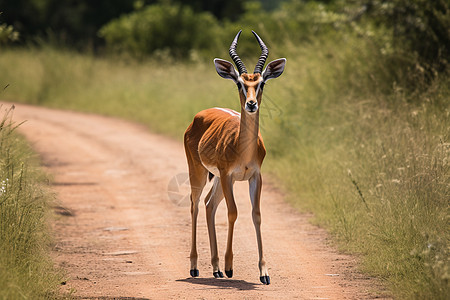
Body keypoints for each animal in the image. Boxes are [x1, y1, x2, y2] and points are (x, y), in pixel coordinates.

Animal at [183, 30, 284, 286]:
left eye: (261, 83)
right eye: (240, 83)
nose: (251, 104)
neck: (243, 149)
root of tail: (199, 116)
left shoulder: (255, 176)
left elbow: (256, 215)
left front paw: (264, 273)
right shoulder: (229, 175)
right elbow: (233, 212)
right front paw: (230, 267)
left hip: (217, 179)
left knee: (209, 205)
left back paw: (216, 269)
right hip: (199, 172)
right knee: (195, 204)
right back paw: (196, 268)